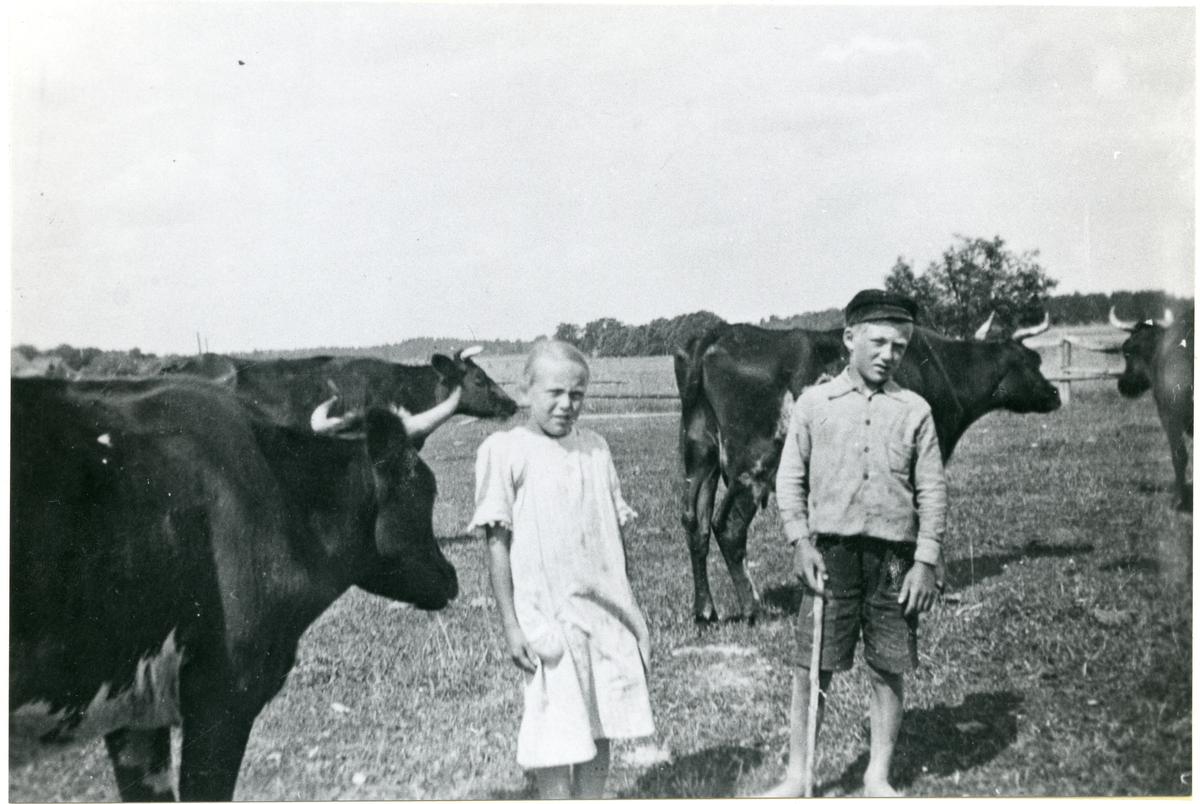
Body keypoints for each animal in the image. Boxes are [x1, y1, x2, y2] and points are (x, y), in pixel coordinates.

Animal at [677, 313, 1062, 623]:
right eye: (1033, 360)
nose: (1056, 393)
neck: (941, 368)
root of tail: (716, 336)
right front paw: (933, 584)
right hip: (752, 465)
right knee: (727, 527)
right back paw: (753, 609)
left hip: (700, 457)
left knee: (695, 523)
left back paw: (705, 610)